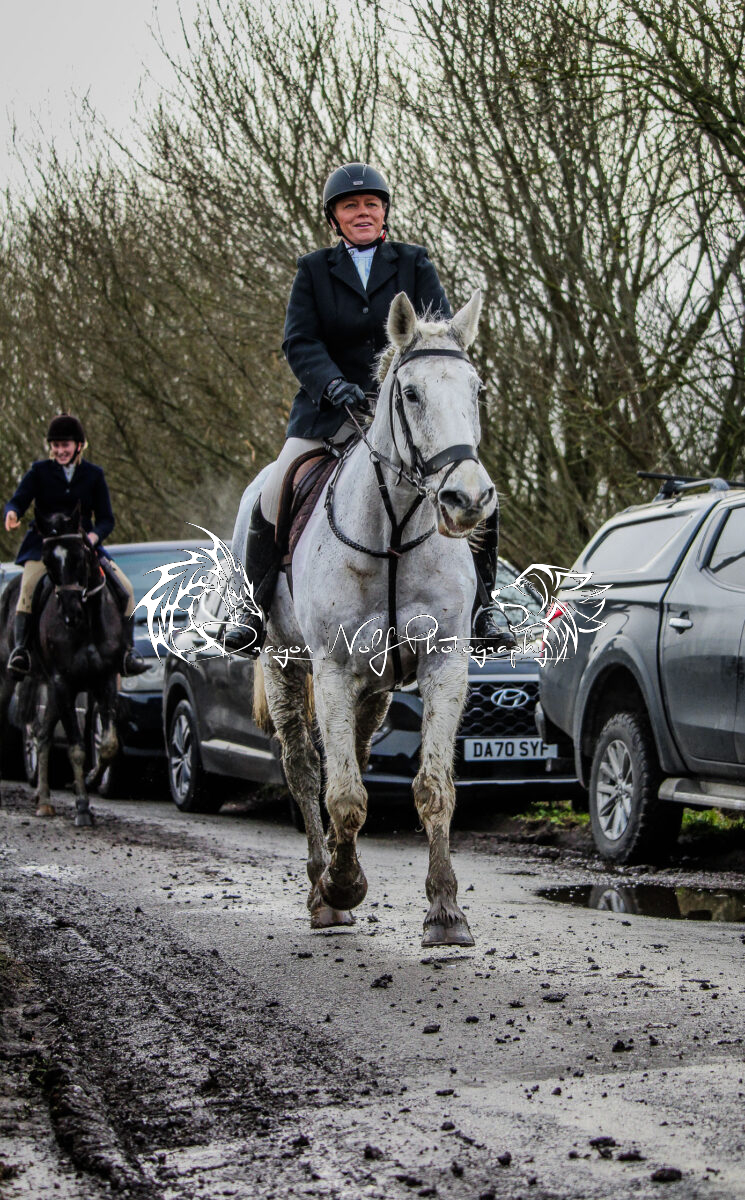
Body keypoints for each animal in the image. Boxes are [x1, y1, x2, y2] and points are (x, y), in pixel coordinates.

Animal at [0, 509, 125, 824]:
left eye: (81, 556)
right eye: (47, 561)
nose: (70, 614)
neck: (87, 625)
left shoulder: (105, 680)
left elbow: (108, 744)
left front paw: (92, 779)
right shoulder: (63, 683)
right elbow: (77, 749)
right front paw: (81, 807)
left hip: (52, 690)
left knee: (43, 736)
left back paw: (44, 800)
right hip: (13, 680)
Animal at [253, 289, 495, 945]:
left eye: (476, 390)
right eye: (410, 394)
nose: (467, 500)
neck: (394, 529)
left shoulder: (442, 665)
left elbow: (432, 788)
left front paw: (446, 911)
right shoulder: (333, 670)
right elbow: (342, 795)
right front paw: (341, 886)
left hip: (377, 685)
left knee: (356, 755)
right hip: (286, 664)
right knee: (305, 768)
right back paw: (323, 889)